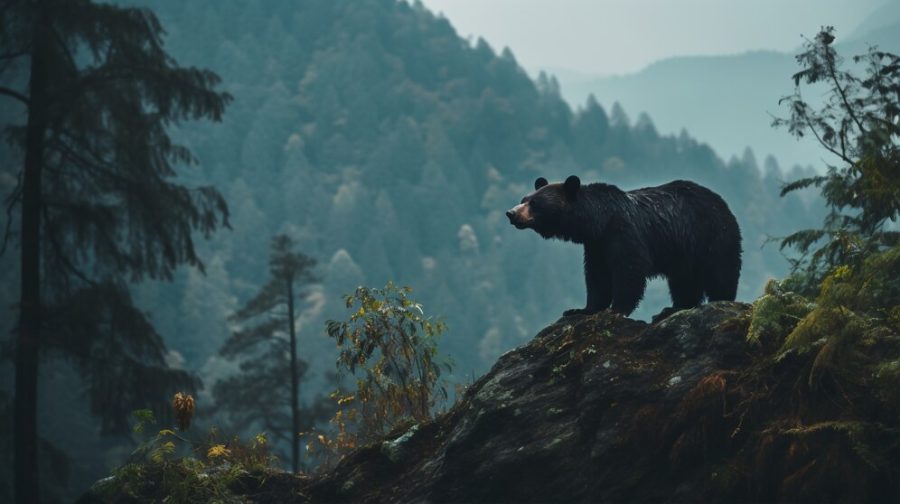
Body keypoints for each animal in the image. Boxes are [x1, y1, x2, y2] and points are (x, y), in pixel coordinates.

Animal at [510, 176, 740, 318]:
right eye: (524, 198)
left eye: (534, 203)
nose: (511, 213)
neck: (599, 221)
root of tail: (722, 202)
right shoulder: (596, 245)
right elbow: (597, 276)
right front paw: (581, 309)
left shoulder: (623, 231)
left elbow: (629, 268)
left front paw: (616, 309)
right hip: (683, 252)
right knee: (684, 282)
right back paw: (675, 308)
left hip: (712, 236)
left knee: (721, 272)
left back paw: (720, 300)